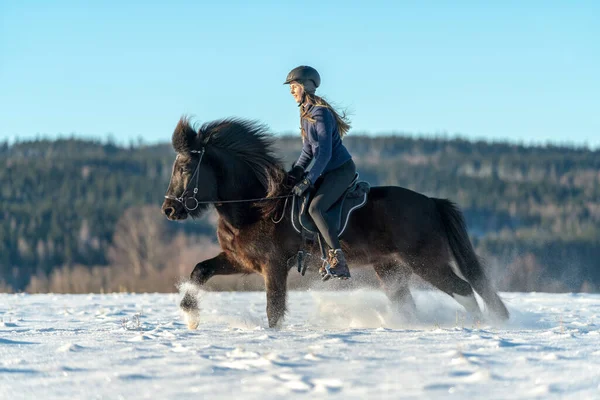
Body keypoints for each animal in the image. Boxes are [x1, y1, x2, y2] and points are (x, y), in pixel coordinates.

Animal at [162, 115, 508, 328]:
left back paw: (482, 326)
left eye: (186, 167)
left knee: (463, 289)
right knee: (409, 303)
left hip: (426, 261)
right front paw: (191, 317)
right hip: (391, 269)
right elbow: (199, 270)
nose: (169, 209)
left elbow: (274, 309)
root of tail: (432, 203)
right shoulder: (241, 260)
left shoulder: (274, 265)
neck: (255, 207)